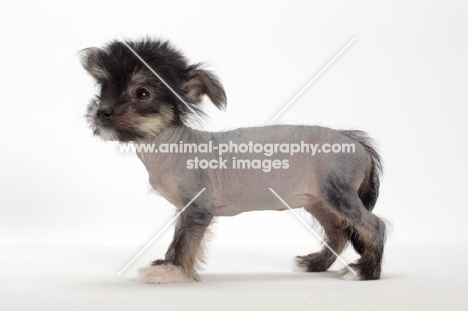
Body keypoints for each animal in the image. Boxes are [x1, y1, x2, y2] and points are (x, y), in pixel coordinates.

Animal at [81, 37, 388, 284]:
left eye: (142, 93)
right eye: (103, 88)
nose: (102, 112)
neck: (170, 143)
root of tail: (357, 143)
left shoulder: (199, 208)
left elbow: (185, 242)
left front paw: (172, 272)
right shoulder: (186, 209)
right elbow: (180, 238)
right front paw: (169, 265)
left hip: (338, 194)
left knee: (374, 226)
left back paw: (366, 271)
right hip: (317, 200)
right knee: (338, 232)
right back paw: (316, 263)